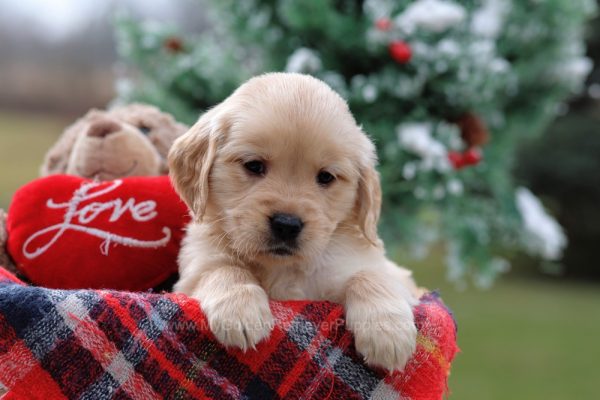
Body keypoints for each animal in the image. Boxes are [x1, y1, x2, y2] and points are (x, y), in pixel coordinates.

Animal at [169, 72, 420, 372]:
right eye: (253, 165)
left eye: (326, 177)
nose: (287, 224)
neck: (285, 268)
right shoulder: (196, 267)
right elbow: (223, 268)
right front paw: (240, 310)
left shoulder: (389, 273)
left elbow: (370, 274)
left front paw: (387, 331)